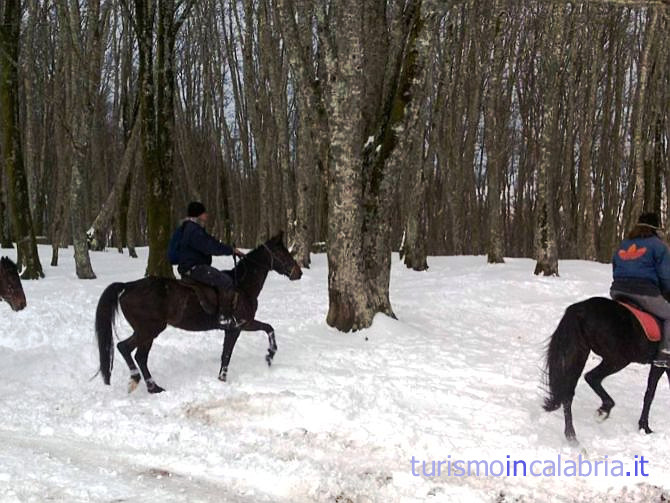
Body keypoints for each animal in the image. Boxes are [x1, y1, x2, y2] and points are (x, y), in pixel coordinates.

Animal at [96, 232, 304, 394]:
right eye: (281, 252)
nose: (298, 273)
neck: (243, 285)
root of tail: (128, 286)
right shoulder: (239, 326)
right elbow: (231, 352)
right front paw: (268, 356)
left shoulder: (240, 326)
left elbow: (265, 330)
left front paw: (268, 356)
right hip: (149, 329)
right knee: (125, 348)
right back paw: (136, 379)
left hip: (148, 331)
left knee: (140, 356)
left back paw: (153, 387)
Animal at [544, 298, 670, 442]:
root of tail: (579, 309)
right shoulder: (660, 365)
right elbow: (650, 395)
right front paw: (645, 428)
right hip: (617, 359)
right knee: (591, 377)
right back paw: (603, 411)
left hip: (580, 352)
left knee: (569, 392)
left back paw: (571, 436)